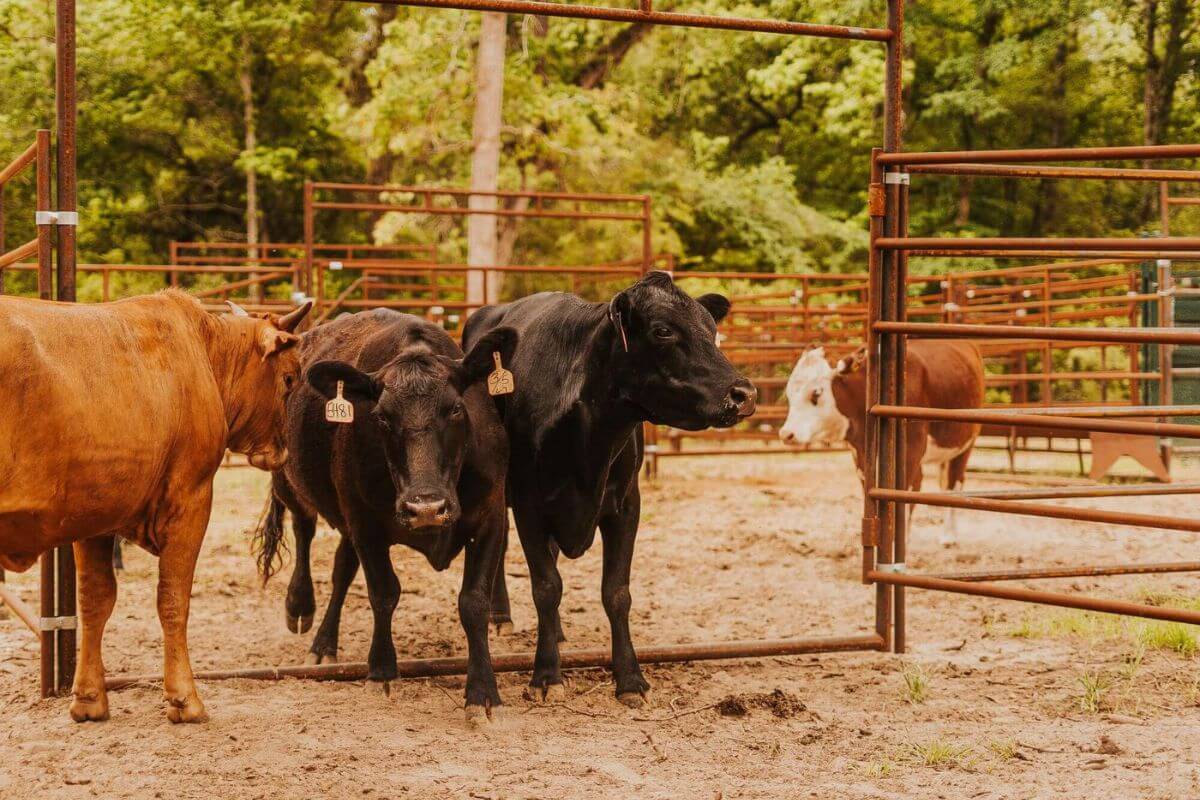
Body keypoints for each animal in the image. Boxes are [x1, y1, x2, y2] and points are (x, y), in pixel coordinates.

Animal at [0, 290, 312, 723]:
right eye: (289, 378)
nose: (281, 451)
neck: (204, 352)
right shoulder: (190, 501)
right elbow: (173, 599)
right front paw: (184, 698)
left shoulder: (96, 516)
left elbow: (95, 601)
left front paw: (89, 698)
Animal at [254, 309, 516, 724]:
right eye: (380, 417)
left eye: (456, 409)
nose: (426, 507)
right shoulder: (366, 523)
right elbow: (384, 592)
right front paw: (381, 670)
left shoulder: (491, 516)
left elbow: (474, 601)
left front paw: (483, 691)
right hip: (289, 482)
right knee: (303, 531)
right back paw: (300, 607)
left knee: (342, 568)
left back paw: (325, 641)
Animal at [462, 271, 757, 707]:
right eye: (663, 330)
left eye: (712, 328)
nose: (744, 394)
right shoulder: (531, 505)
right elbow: (546, 587)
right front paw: (546, 675)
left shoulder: (626, 506)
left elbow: (616, 593)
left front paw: (630, 678)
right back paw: (502, 617)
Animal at [778, 341, 985, 540]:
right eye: (789, 393)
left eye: (816, 393)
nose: (786, 434)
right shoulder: (861, 457)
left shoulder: (911, 452)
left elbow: (902, 497)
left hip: (965, 446)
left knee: (953, 483)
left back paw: (949, 535)